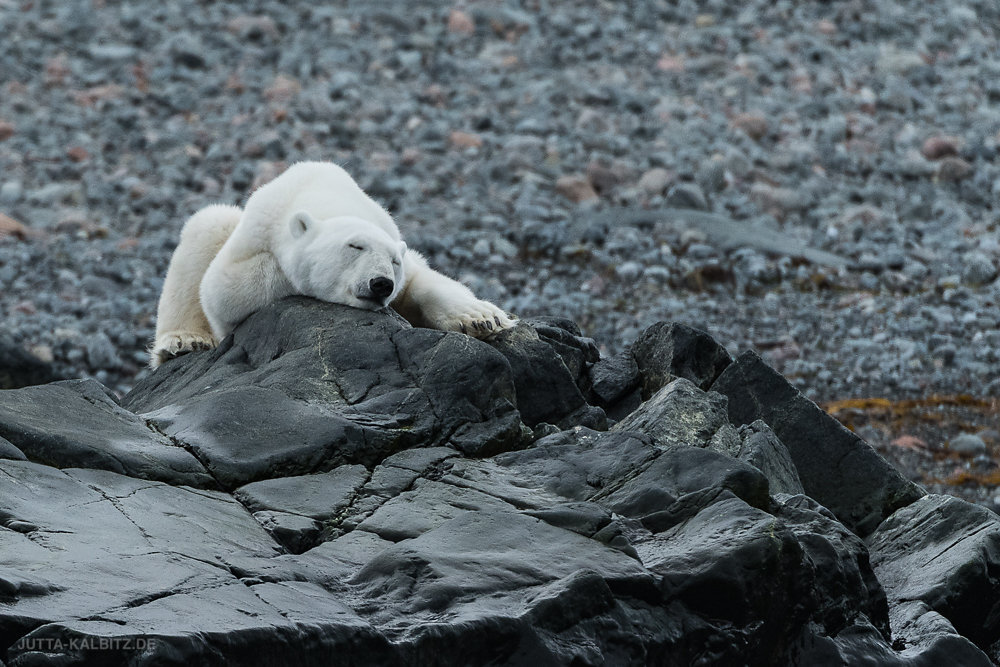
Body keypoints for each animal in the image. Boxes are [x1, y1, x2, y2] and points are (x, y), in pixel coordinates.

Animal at [154, 162, 524, 370]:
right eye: (354, 246)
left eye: (393, 262)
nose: (381, 284)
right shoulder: (249, 248)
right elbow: (225, 289)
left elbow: (423, 280)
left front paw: (482, 318)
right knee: (207, 226)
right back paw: (185, 341)